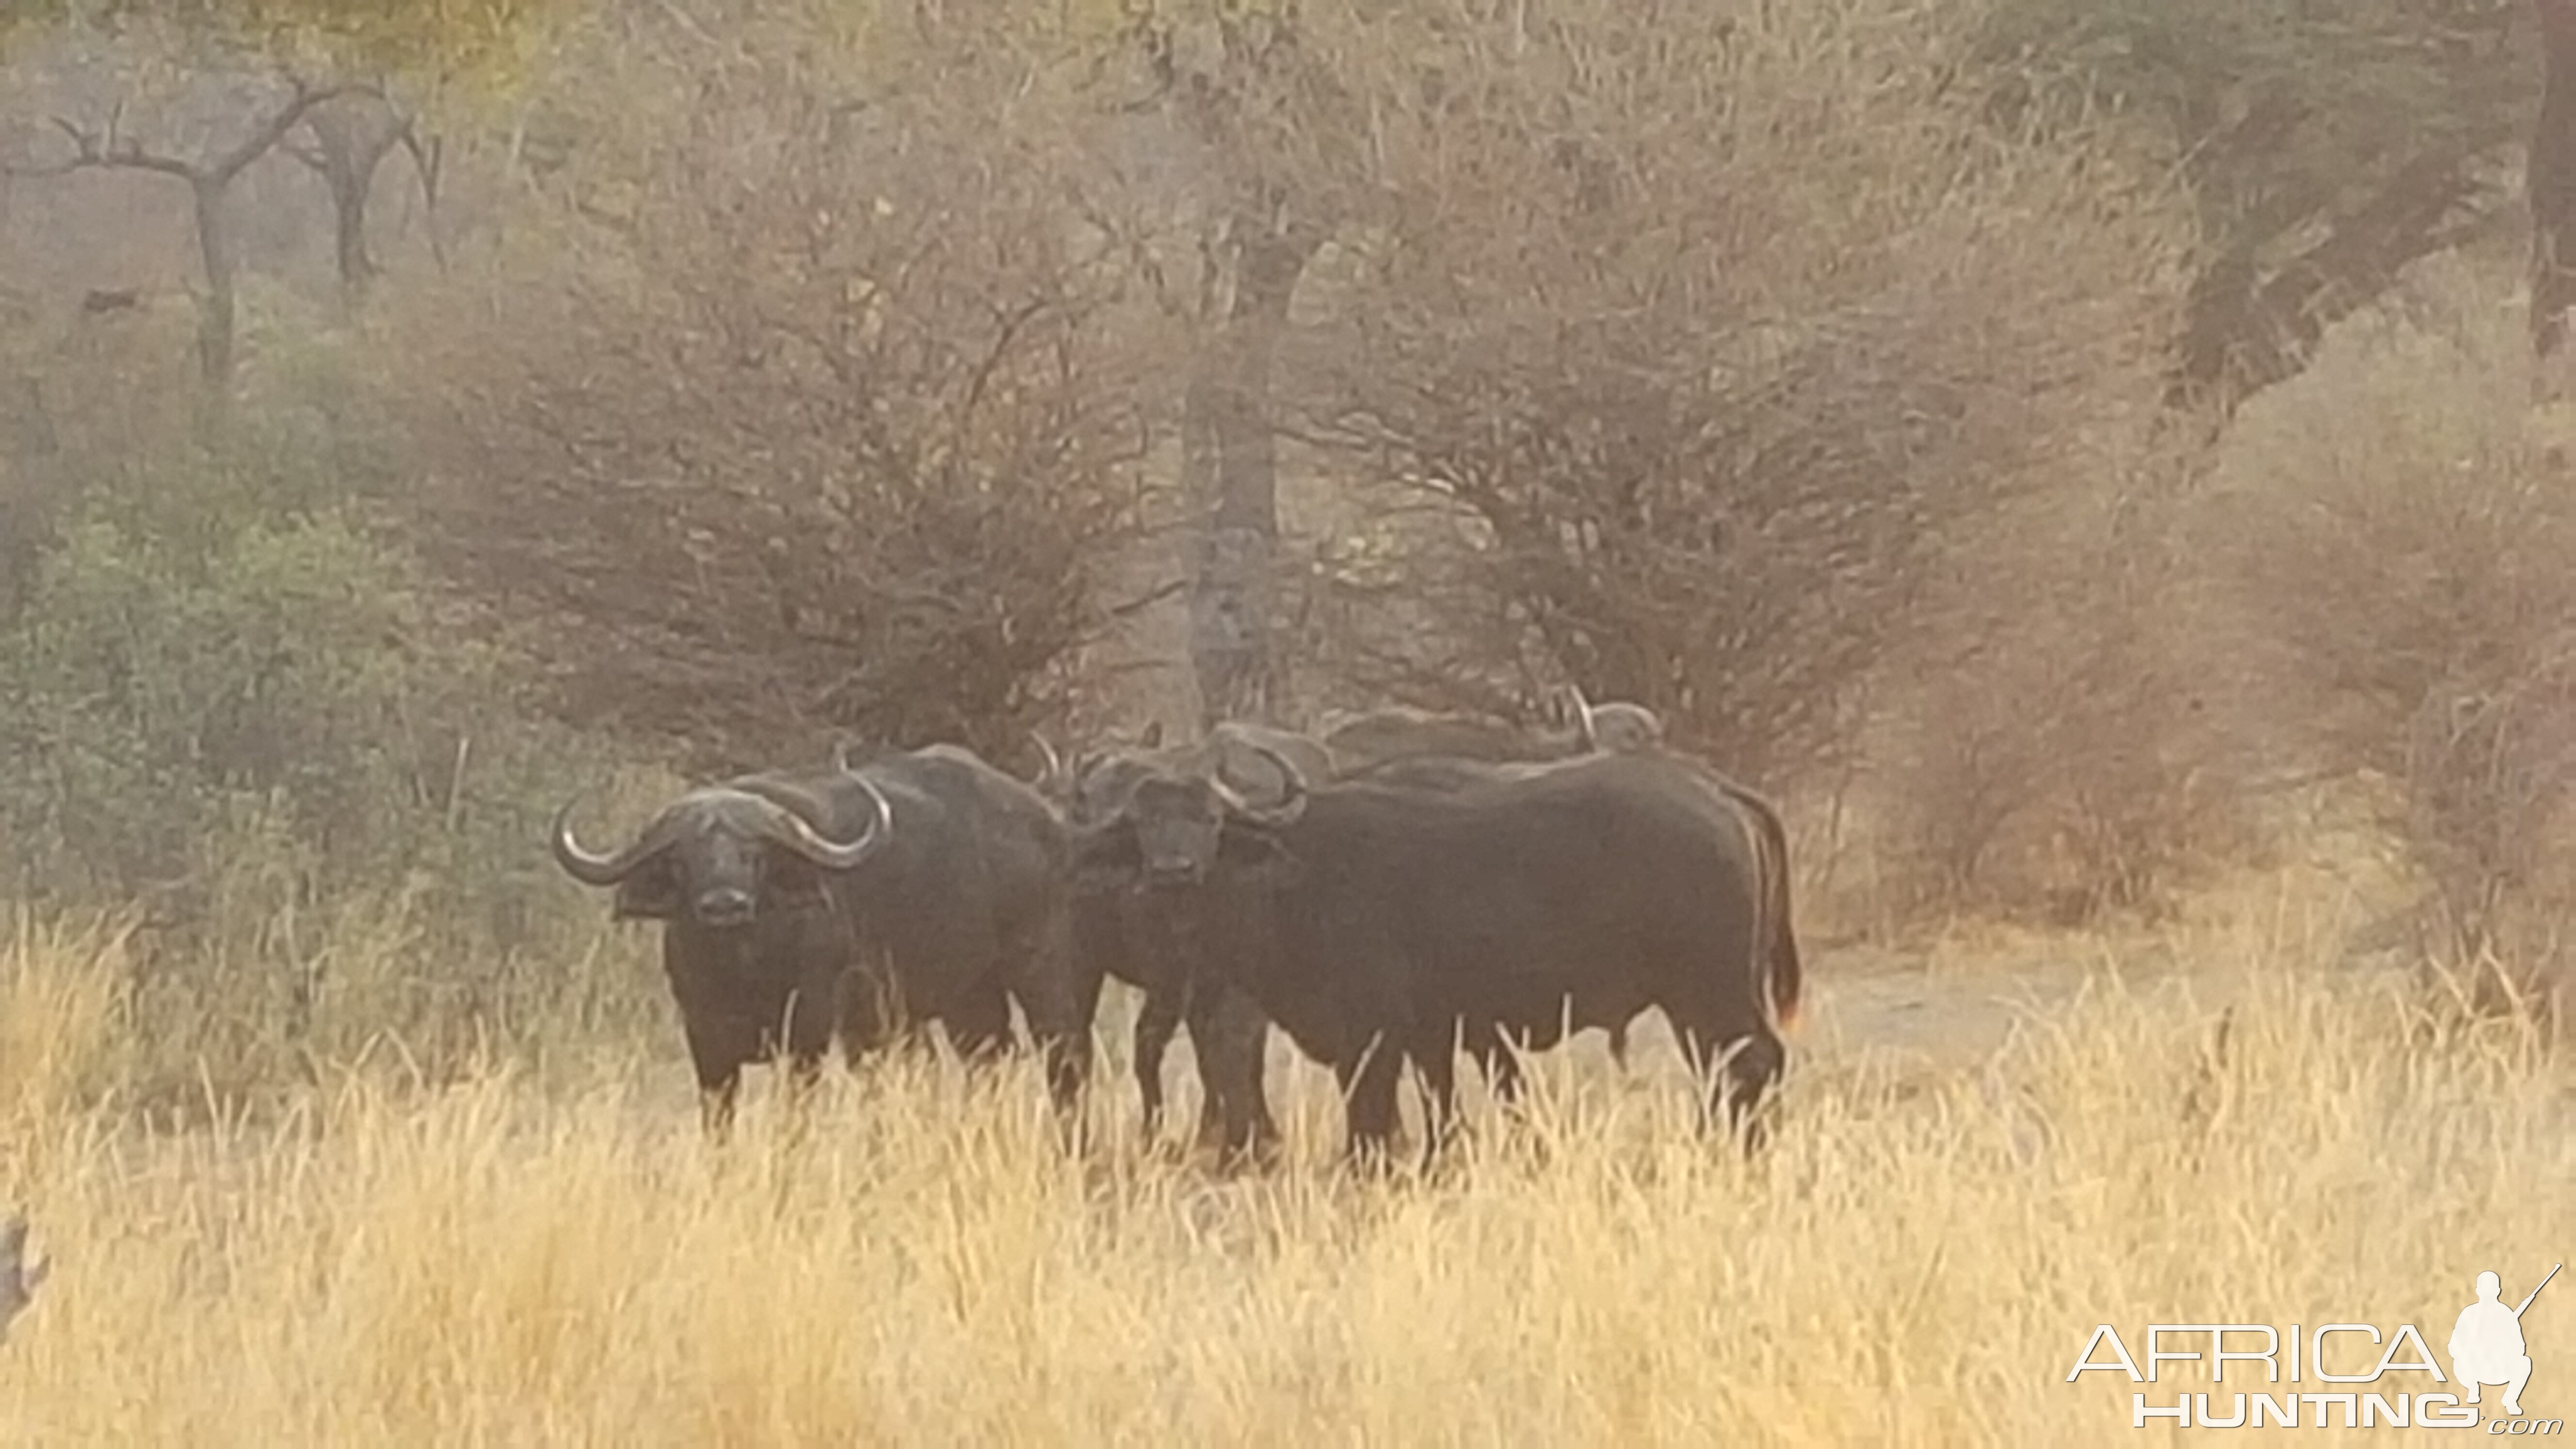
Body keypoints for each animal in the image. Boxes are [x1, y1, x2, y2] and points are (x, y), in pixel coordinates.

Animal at [551, 742, 1087, 1129]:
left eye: (754, 855)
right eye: (684, 860)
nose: (725, 905)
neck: (743, 970)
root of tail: (1045, 816)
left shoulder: (807, 1034)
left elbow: (797, 1116)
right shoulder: (705, 1040)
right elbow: (718, 1124)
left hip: (1041, 965)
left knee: (1063, 1055)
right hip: (966, 996)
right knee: (988, 1058)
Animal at [1066, 742, 1793, 1160]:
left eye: (1211, 821)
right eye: (1142, 825)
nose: (1174, 871)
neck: (1291, 880)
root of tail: (1717, 793)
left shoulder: (1373, 1038)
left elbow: (1370, 1124)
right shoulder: (1431, 1036)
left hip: (1710, 990)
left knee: (1751, 1063)